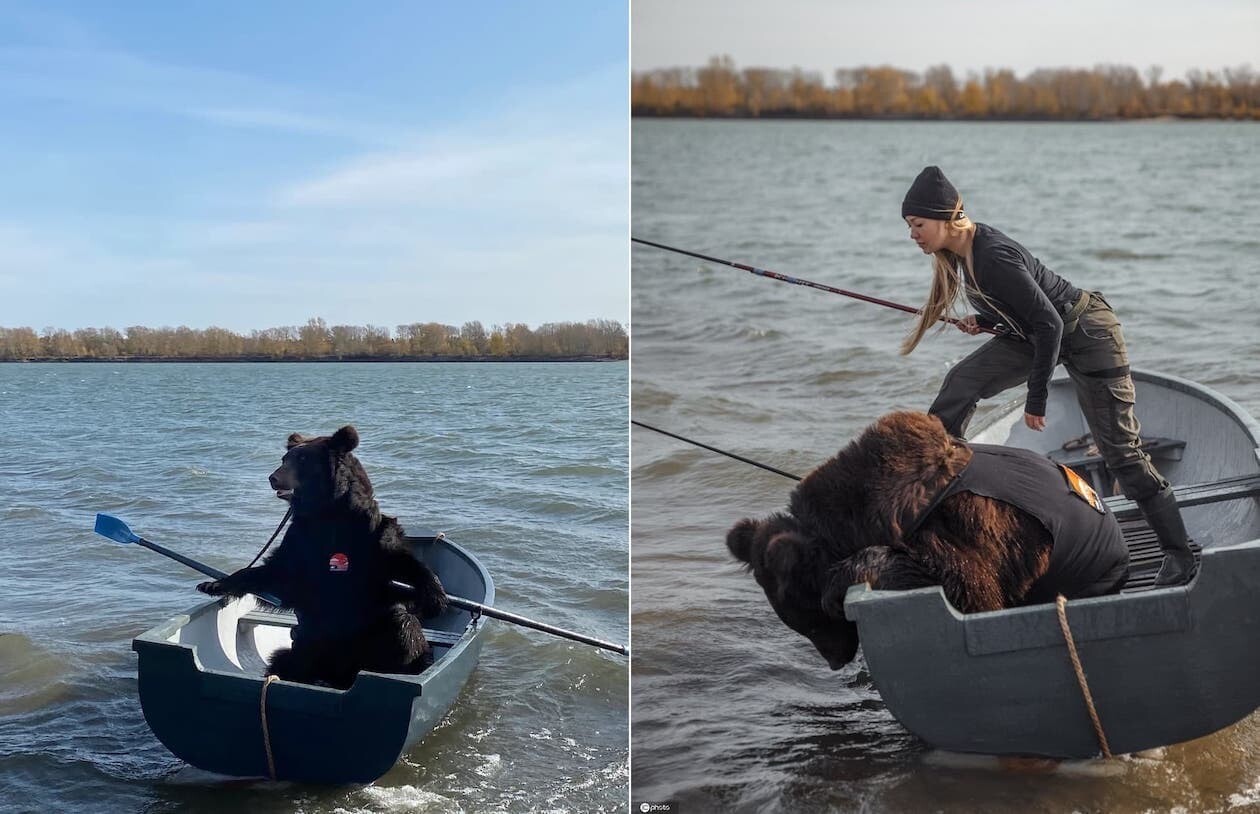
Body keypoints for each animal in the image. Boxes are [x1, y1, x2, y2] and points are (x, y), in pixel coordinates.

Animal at [196, 428, 448, 690]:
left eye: (302, 459)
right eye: (284, 459)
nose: (273, 478)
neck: (326, 512)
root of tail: (338, 675)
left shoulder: (369, 539)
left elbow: (401, 566)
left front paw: (435, 595)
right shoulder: (301, 542)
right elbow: (277, 575)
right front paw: (213, 584)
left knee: (403, 626)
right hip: (306, 645)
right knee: (284, 661)